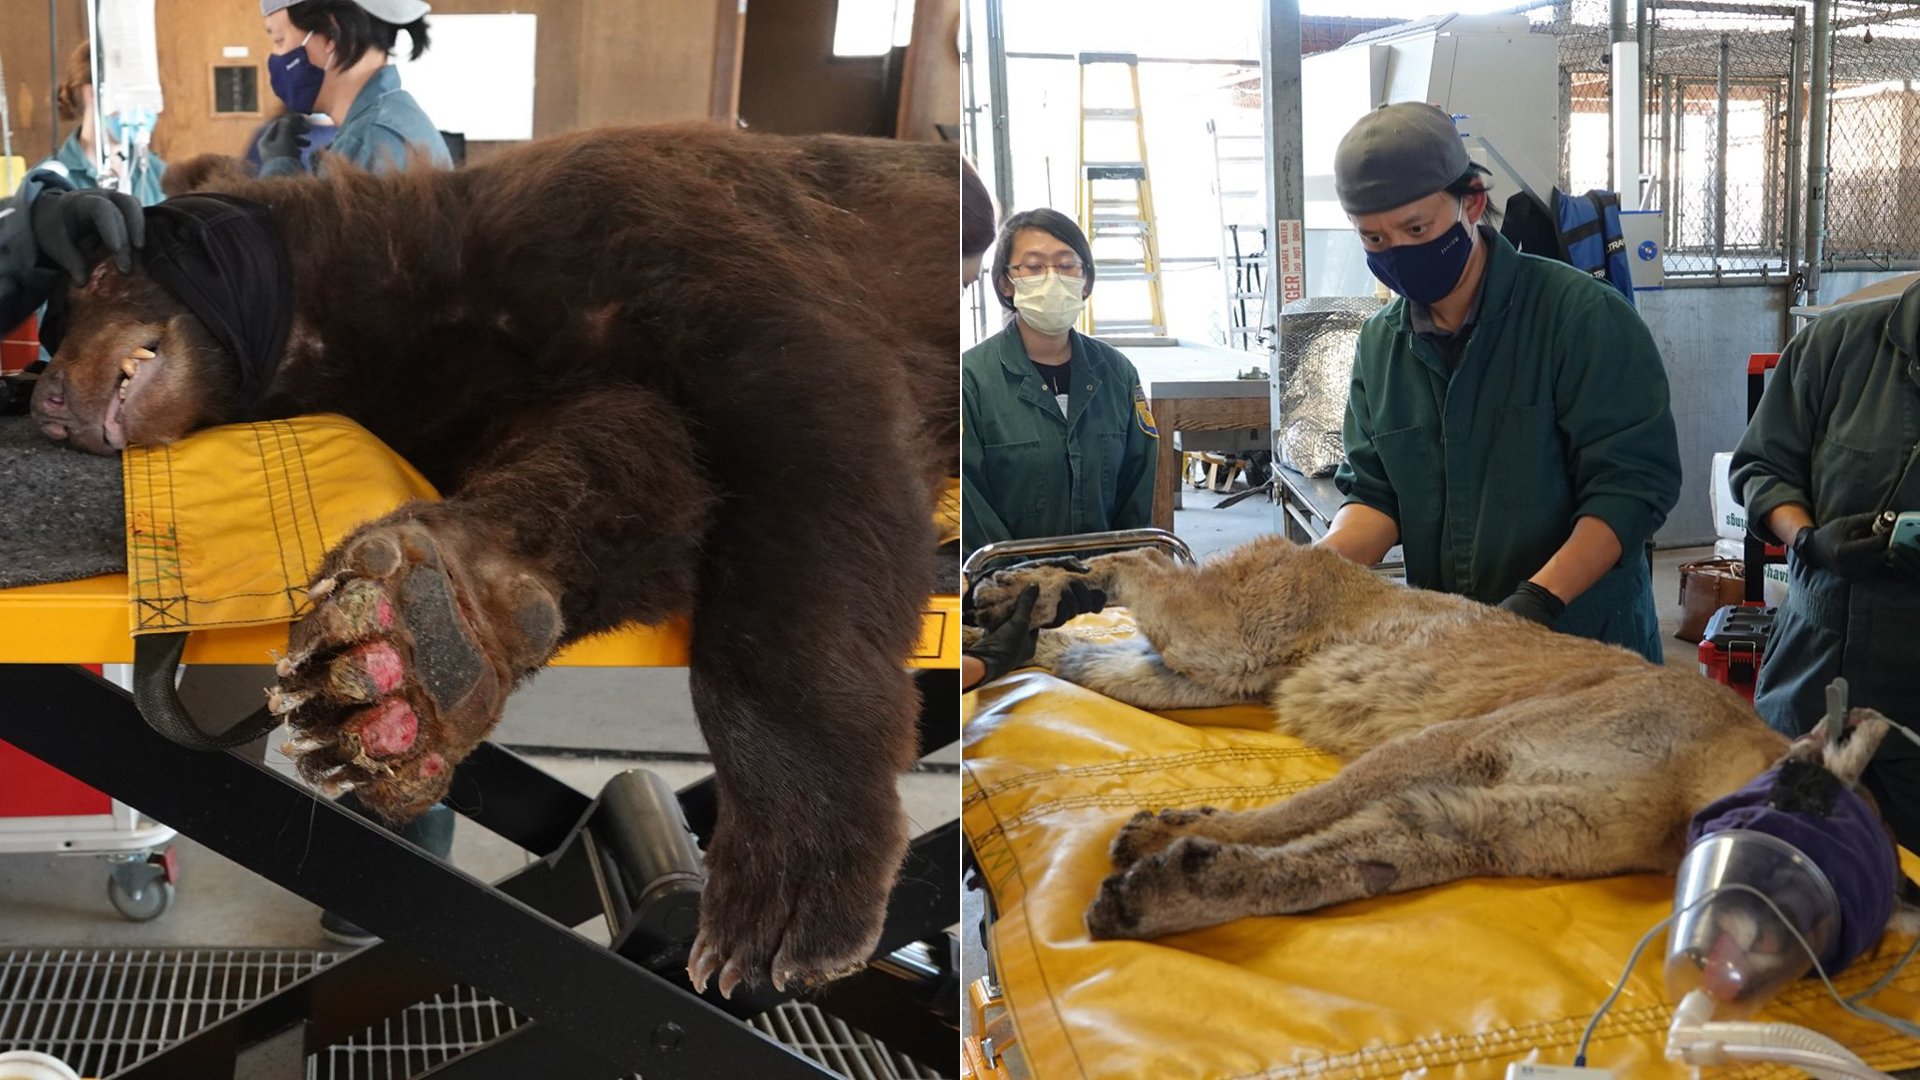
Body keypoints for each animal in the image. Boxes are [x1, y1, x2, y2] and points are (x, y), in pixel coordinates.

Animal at [26, 123, 956, 991]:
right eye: (58, 312)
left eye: (95, 280)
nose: (45, 398)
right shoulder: (465, 389)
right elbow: (633, 470)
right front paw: (409, 651)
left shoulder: (653, 228)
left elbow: (810, 429)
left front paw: (786, 890)